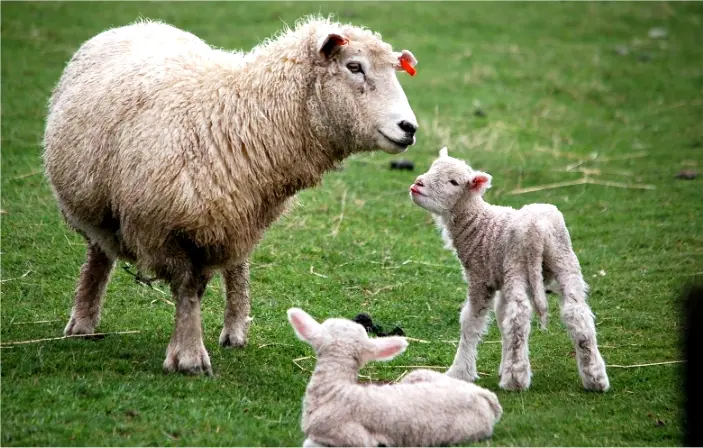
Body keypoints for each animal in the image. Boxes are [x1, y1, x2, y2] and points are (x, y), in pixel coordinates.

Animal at [42, 16, 419, 376]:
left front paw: (189, 347)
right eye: (354, 66)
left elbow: (199, 285)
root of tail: (137, 25)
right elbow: (187, 288)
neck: (240, 114)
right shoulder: (163, 228)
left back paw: (235, 330)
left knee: (238, 267)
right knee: (98, 252)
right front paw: (190, 356)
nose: (409, 128)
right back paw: (82, 322)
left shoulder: (228, 216)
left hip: (240, 214)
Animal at [408, 147, 610, 392]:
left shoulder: (480, 278)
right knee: (577, 313)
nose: (417, 184)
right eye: (432, 168)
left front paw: (460, 372)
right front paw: (503, 364)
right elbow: (501, 317)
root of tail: (538, 229)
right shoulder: (500, 278)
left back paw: (515, 380)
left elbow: (472, 322)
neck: (478, 222)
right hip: (564, 262)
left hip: (517, 264)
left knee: (520, 315)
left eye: (453, 182)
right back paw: (595, 378)